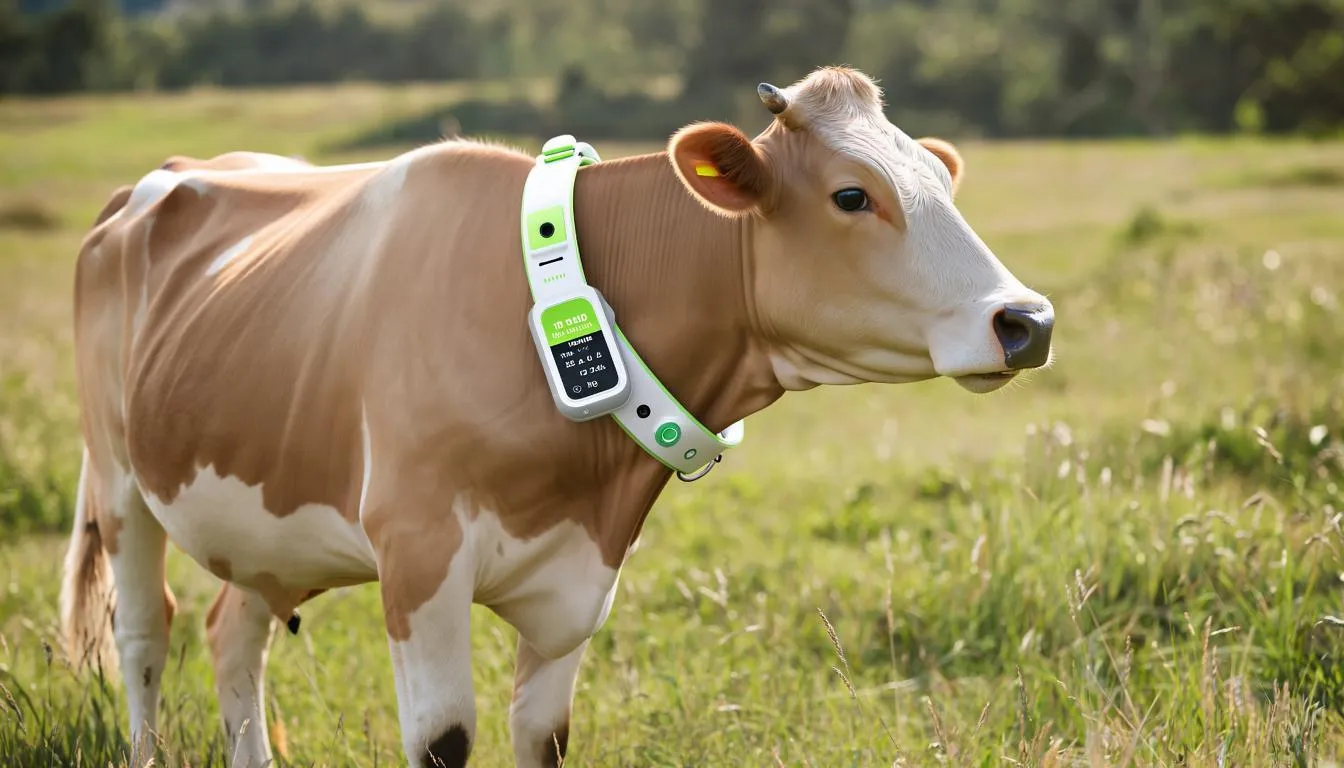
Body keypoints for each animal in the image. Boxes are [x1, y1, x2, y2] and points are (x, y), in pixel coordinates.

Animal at [60, 66, 1054, 767]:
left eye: (941, 184)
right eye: (852, 195)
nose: (1027, 320)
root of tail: (172, 175)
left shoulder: (576, 582)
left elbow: (543, 739)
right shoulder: (419, 555)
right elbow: (443, 741)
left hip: (264, 524)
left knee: (234, 632)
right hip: (119, 480)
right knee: (144, 636)